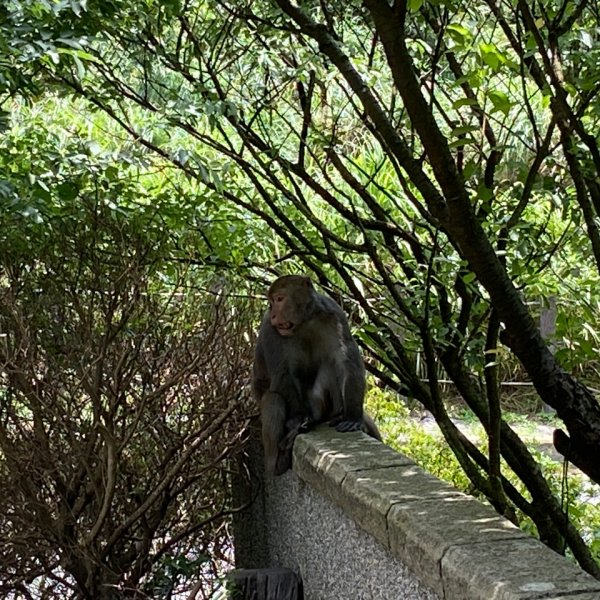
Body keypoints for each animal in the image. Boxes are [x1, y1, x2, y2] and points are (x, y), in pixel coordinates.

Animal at [252, 274, 382, 476]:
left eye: (279, 299)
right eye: (271, 302)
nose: (273, 313)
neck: (304, 322)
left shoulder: (334, 314)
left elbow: (344, 359)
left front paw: (352, 417)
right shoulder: (270, 329)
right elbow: (283, 372)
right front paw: (299, 419)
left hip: (321, 405)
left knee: (330, 366)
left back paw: (337, 414)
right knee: (273, 399)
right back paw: (279, 461)